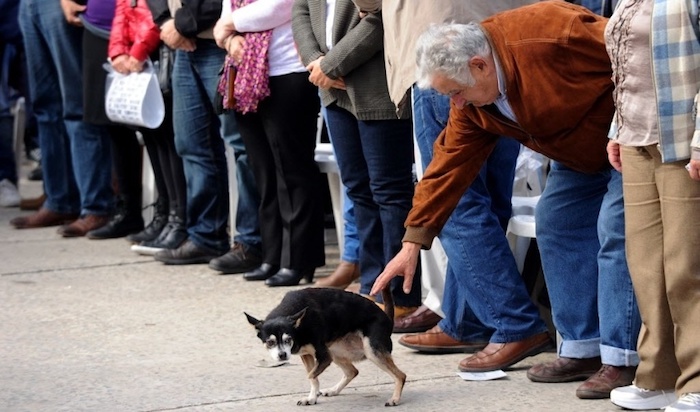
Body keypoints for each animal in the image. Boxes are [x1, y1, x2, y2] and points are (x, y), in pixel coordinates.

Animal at [246, 286, 408, 406]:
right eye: (270, 342)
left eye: (288, 340)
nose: (282, 355)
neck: (299, 327)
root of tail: (387, 319)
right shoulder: (307, 354)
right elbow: (313, 377)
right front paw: (311, 398)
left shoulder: (324, 357)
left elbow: (311, 375)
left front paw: (313, 395)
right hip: (335, 351)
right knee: (352, 371)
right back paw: (333, 390)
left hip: (371, 351)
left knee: (401, 375)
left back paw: (395, 399)